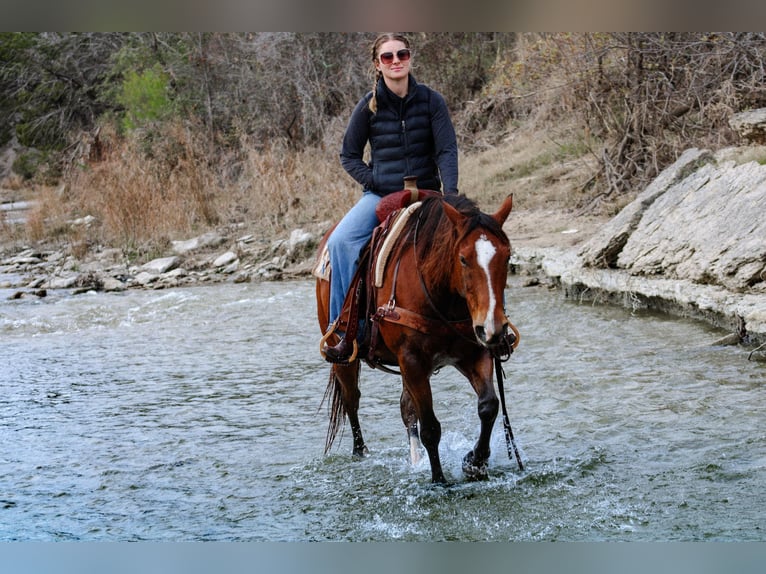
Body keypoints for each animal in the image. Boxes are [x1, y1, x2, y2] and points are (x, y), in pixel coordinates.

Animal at [316, 195, 520, 486]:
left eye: (507, 255)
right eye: (463, 259)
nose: (494, 327)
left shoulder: (475, 353)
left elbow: (489, 406)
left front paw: (475, 463)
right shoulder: (412, 360)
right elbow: (431, 427)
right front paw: (439, 481)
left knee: (406, 409)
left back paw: (415, 460)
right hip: (344, 352)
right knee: (351, 399)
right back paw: (360, 452)